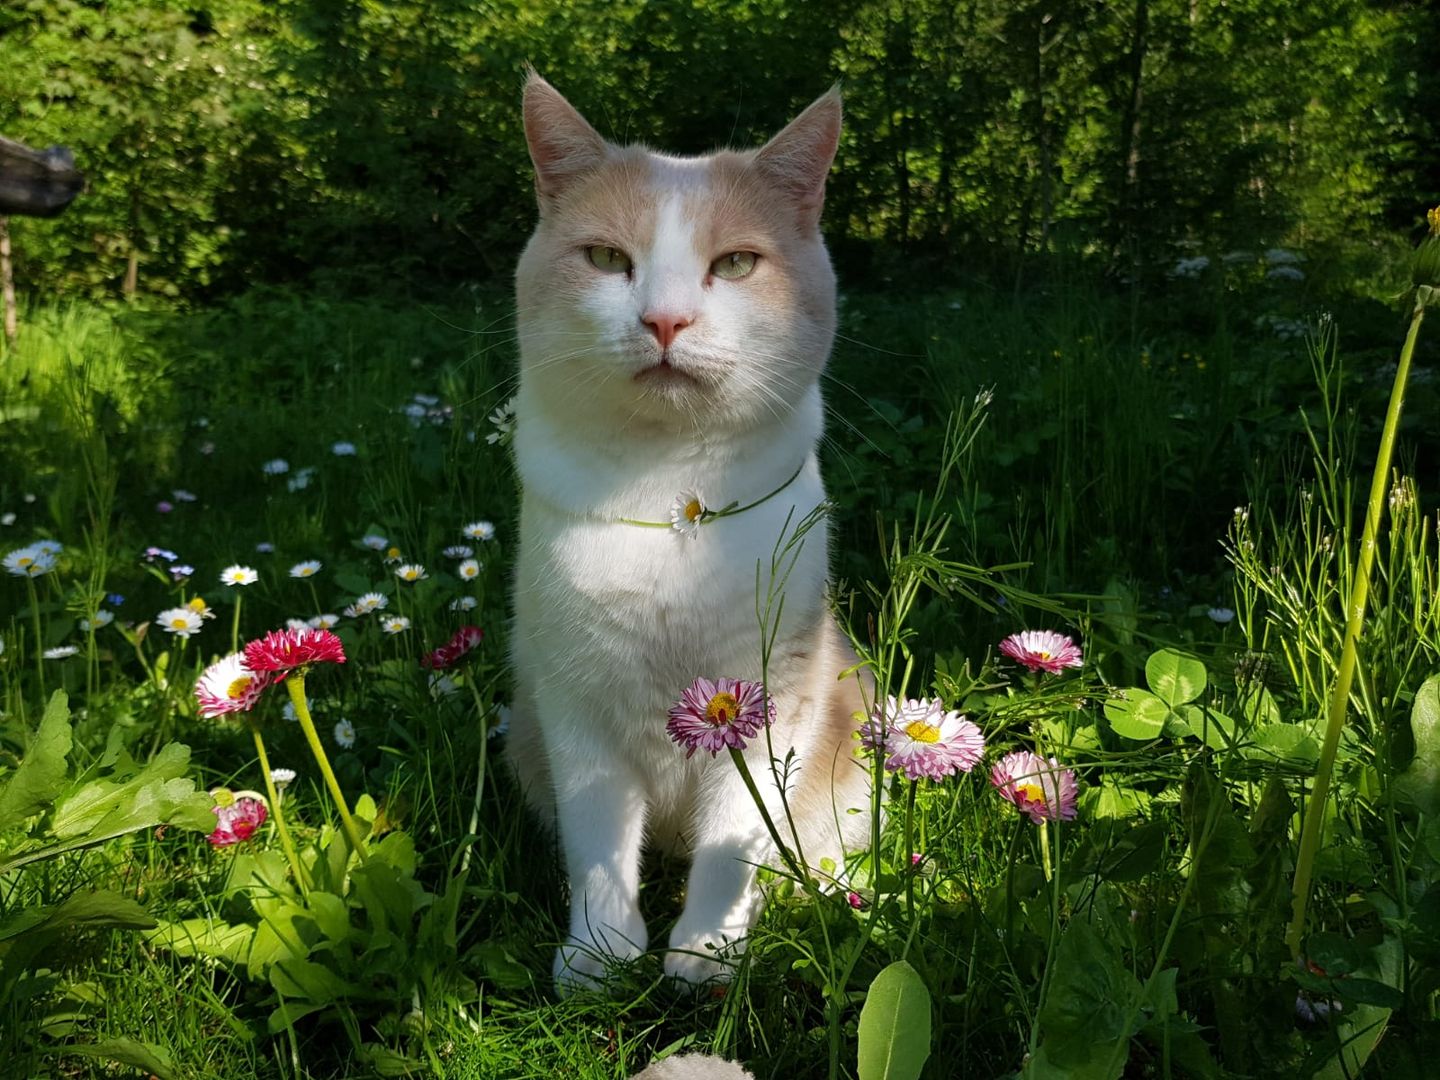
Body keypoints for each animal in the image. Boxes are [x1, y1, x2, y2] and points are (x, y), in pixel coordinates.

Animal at [506, 72, 864, 996]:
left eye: (734, 264)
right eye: (606, 259)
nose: (665, 321)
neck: (670, 504)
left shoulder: (771, 700)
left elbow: (734, 842)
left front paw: (705, 954)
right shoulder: (575, 706)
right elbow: (598, 845)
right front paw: (600, 957)